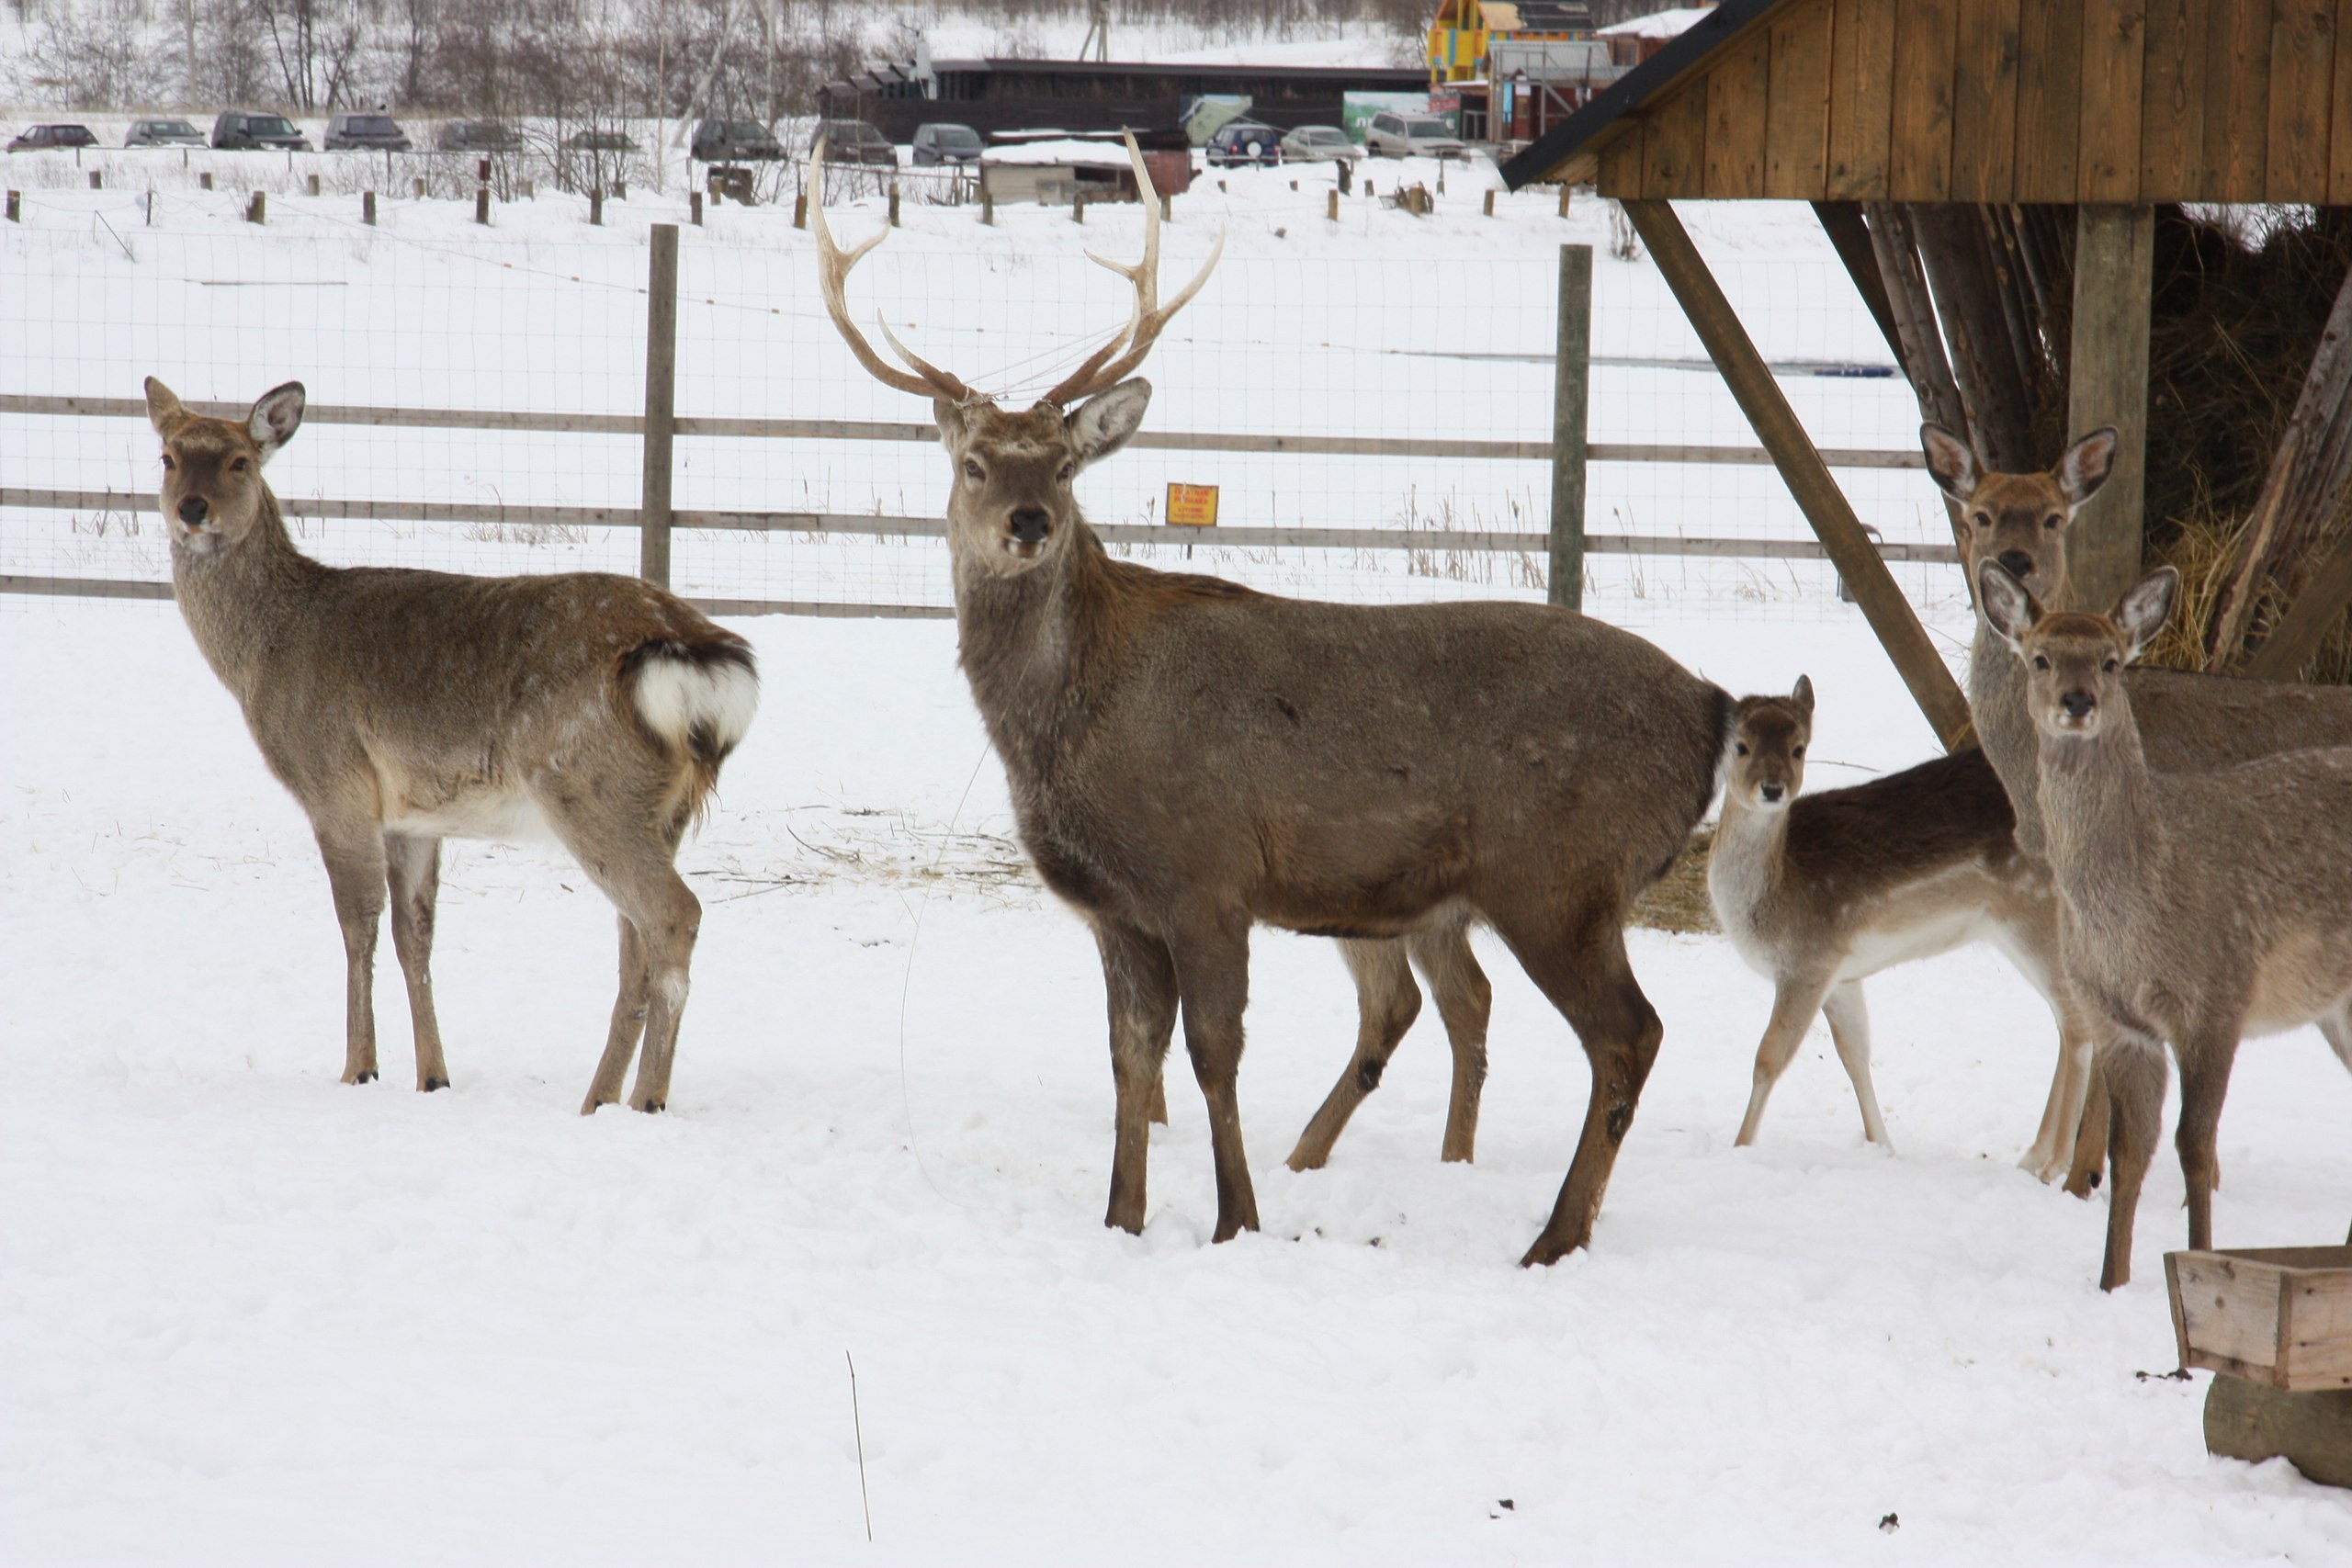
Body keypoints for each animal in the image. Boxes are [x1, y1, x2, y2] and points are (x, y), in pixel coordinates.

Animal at [141, 380, 762, 1114]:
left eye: (240, 460)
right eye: (167, 456)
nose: (193, 508)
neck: (264, 656)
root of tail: (695, 652)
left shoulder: (334, 783)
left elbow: (357, 925)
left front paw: (358, 1069)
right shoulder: (412, 817)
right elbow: (416, 937)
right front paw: (433, 1075)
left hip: (585, 786)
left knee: (673, 914)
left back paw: (645, 1102)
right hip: (663, 810)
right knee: (634, 947)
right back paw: (597, 1101)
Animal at [818, 131, 1740, 1259]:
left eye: (1067, 466)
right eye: (974, 464)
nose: (1031, 521)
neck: (1069, 732)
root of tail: (1714, 711)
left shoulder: (1204, 871)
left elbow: (1214, 1054)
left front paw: (1236, 1220)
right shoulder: (1117, 909)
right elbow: (1130, 1062)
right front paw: (1122, 1219)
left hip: (1560, 875)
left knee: (1627, 1033)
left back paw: (1550, 1241)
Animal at [1712, 677, 2098, 1166]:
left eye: (1800, 748)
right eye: (1740, 746)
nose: (1772, 788)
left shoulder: (1807, 961)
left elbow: (1768, 1056)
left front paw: (1739, 1147)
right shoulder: (1841, 972)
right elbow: (1855, 1055)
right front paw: (1883, 1147)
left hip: (2038, 915)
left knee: (2080, 1026)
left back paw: (2051, 1163)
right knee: (2065, 1024)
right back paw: (2036, 1153)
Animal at [1975, 564, 2352, 1288]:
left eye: (2111, 661)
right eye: (2040, 657)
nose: (2077, 701)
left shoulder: (2217, 996)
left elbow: (2194, 1148)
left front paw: (2203, 1261)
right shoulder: (2118, 1020)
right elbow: (2128, 1151)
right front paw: (2111, 1281)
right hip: (2338, 1008)